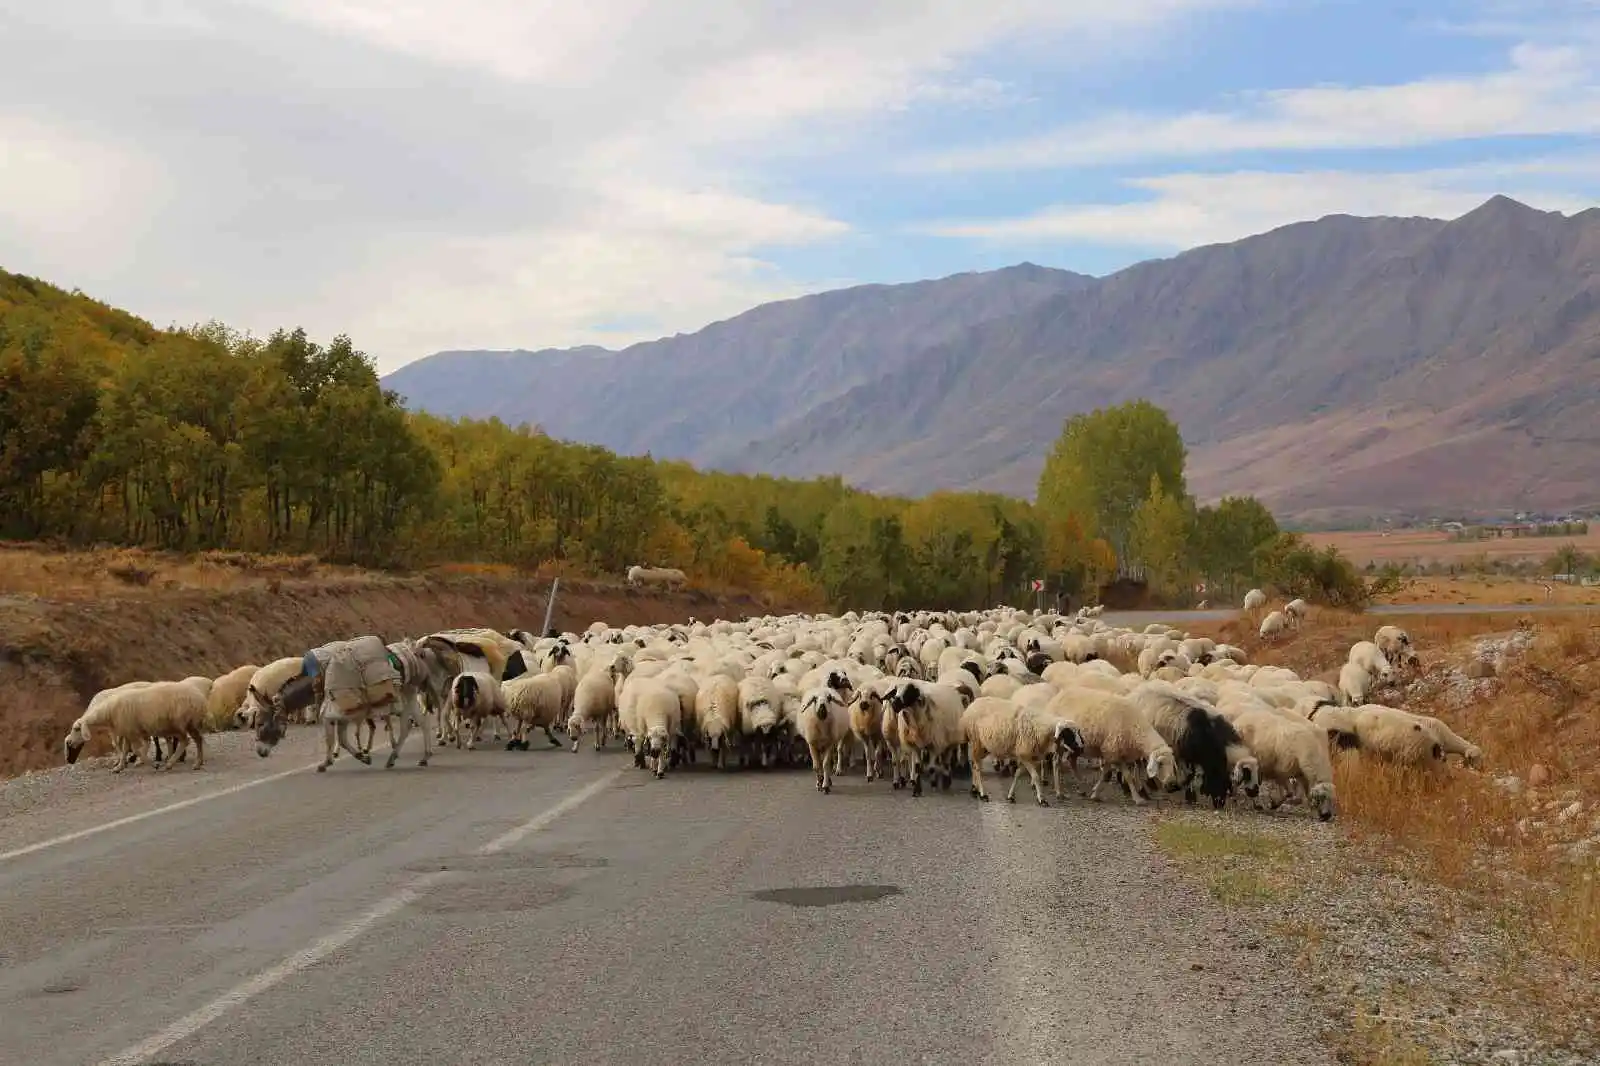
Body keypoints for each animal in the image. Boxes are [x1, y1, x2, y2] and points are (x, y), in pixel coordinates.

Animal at [960, 694, 1088, 800]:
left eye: (1078, 732)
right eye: (1068, 734)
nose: (1081, 747)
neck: (1041, 728)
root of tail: (972, 705)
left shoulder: (1026, 756)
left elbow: (1017, 774)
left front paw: (1010, 796)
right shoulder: (1024, 755)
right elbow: (1035, 777)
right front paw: (1041, 799)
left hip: (985, 746)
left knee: (975, 764)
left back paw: (974, 789)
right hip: (976, 741)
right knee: (977, 767)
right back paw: (982, 793)